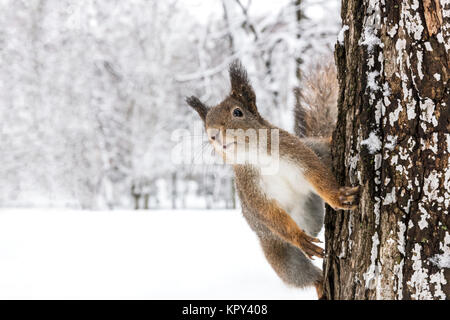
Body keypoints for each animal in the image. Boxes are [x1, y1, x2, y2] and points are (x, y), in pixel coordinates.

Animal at [184, 60, 358, 300]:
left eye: (237, 112)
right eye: (206, 124)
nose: (213, 135)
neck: (256, 155)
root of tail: (311, 225)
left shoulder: (299, 156)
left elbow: (317, 175)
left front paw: (337, 196)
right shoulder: (250, 190)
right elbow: (268, 212)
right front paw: (298, 237)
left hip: (318, 150)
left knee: (324, 149)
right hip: (281, 257)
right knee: (305, 275)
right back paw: (320, 282)